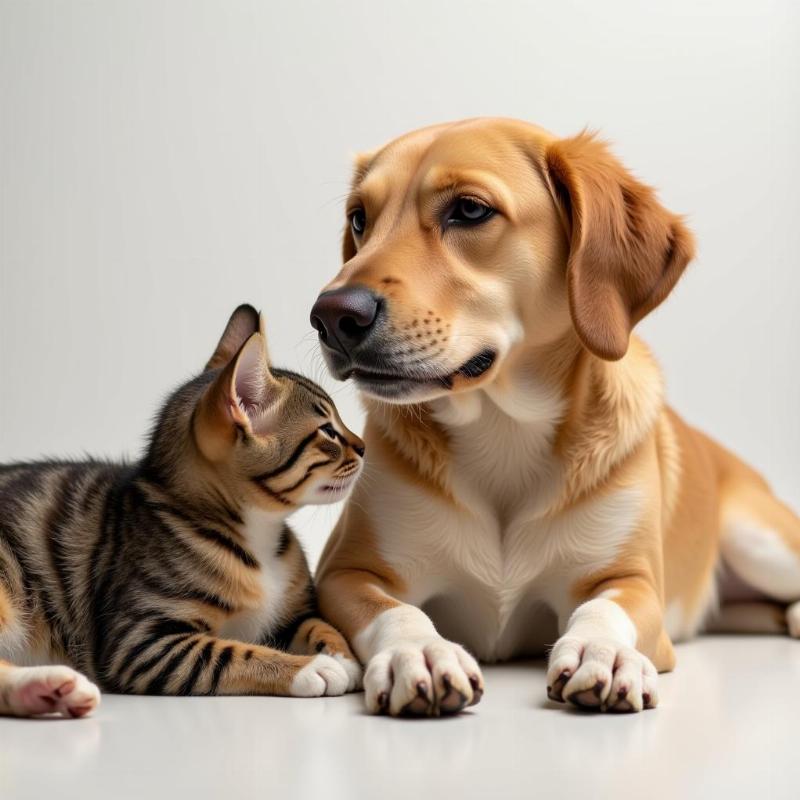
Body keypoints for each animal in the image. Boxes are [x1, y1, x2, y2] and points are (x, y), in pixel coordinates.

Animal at [0, 304, 362, 716]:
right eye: (328, 431)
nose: (364, 446)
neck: (258, 530)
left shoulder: (289, 615)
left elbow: (318, 623)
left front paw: (343, 656)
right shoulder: (142, 642)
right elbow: (233, 653)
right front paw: (312, 668)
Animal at [308, 115, 800, 716]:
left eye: (469, 210)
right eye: (360, 219)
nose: (330, 316)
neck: (502, 430)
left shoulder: (632, 580)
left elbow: (602, 608)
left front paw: (602, 653)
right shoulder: (344, 572)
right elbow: (396, 611)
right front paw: (419, 652)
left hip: (760, 541)